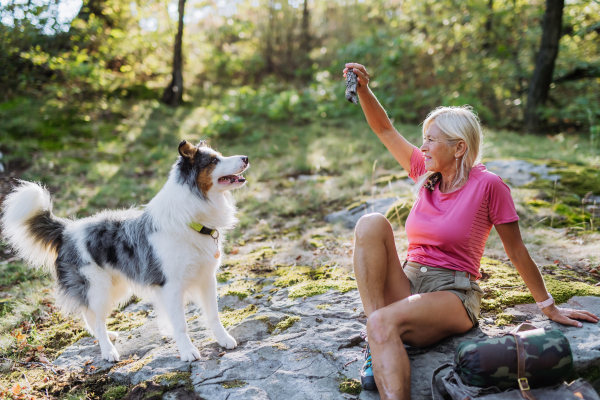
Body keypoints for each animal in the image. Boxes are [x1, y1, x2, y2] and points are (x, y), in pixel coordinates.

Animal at [0, 141, 248, 362]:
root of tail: (66, 230)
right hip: (98, 288)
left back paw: (105, 339)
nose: (246, 158)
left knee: (90, 315)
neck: (190, 217)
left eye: (219, 155)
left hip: (114, 287)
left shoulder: (207, 278)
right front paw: (188, 352)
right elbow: (181, 325)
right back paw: (108, 351)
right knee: (96, 318)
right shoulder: (171, 286)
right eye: (214, 161)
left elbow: (214, 315)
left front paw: (223, 339)